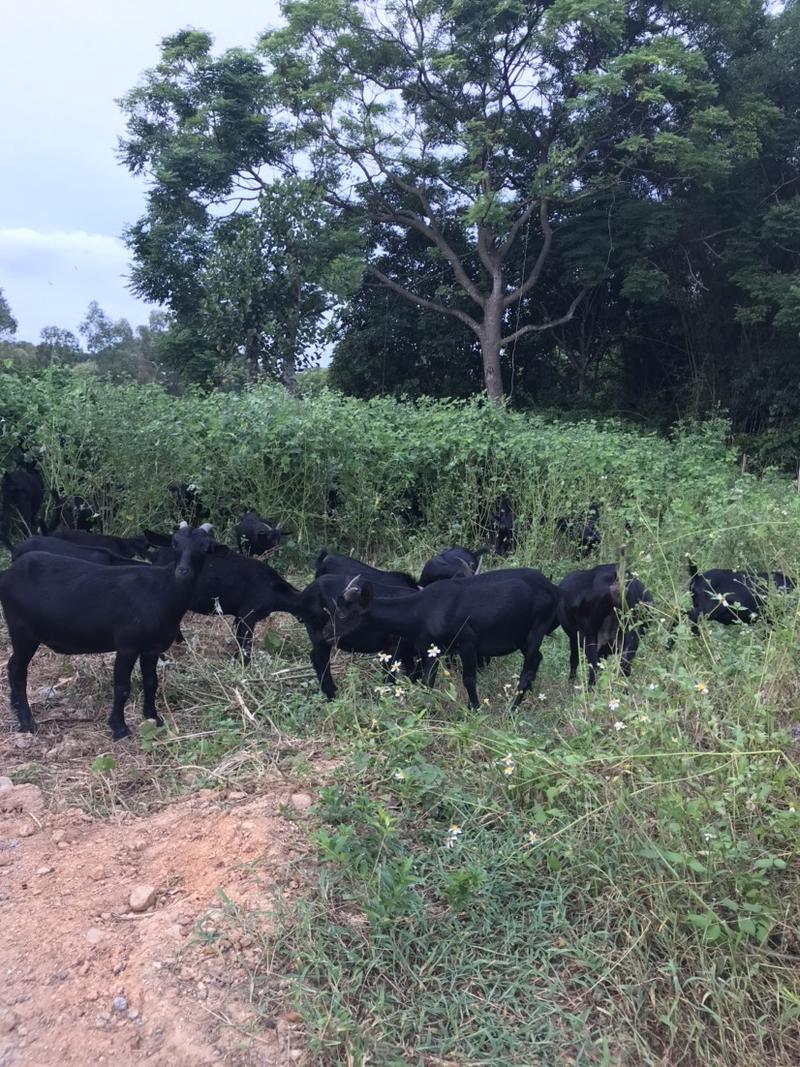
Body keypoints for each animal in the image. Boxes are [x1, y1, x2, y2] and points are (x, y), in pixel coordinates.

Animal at [0, 520, 217, 738]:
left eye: (205, 546)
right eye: (174, 543)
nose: (183, 572)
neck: (162, 590)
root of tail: (9, 573)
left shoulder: (152, 648)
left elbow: (151, 682)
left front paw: (153, 718)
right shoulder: (127, 645)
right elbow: (122, 686)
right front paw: (119, 728)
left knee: (12, 665)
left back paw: (16, 708)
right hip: (22, 629)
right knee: (18, 670)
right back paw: (27, 722)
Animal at [322, 567, 558, 708]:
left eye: (342, 614)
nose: (325, 633)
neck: (423, 610)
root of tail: (553, 589)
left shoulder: (467, 642)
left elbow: (468, 679)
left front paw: (475, 708)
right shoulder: (431, 648)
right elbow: (427, 681)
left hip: (537, 627)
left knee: (528, 668)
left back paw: (513, 708)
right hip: (522, 636)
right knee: (537, 658)